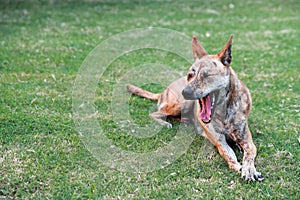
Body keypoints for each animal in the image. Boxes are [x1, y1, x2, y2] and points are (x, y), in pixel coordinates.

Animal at [125, 35, 264, 181]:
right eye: (190, 75)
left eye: (207, 76)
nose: (185, 92)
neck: (223, 113)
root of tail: (164, 91)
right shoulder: (220, 142)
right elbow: (229, 157)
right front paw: (240, 167)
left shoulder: (246, 138)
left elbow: (250, 151)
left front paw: (249, 169)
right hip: (179, 105)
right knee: (154, 114)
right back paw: (165, 123)